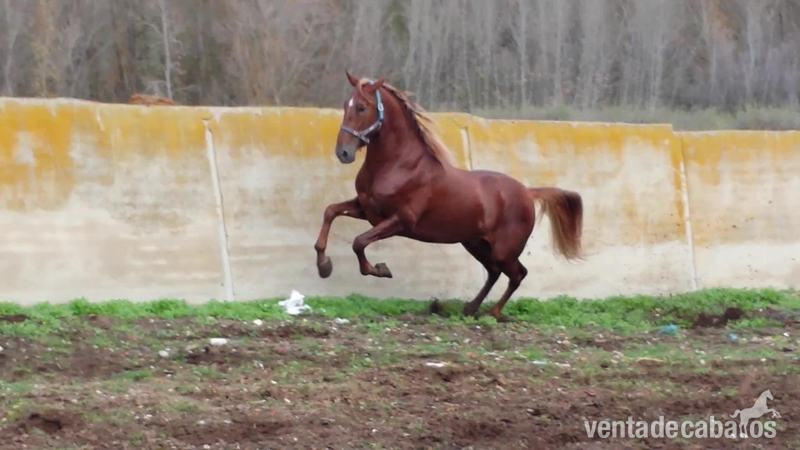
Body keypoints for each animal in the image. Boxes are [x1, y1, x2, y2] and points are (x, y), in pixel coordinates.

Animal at [313, 71, 583, 319]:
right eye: (345, 105)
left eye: (361, 107)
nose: (343, 153)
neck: (398, 165)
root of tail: (527, 192)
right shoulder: (366, 209)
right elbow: (330, 211)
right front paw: (324, 265)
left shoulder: (400, 221)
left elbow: (359, 242)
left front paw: (380, 269)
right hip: (475, 243)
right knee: (495, 272)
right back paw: (470, 308)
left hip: (503, 249)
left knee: (517, 274)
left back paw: (492, 312)